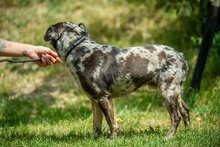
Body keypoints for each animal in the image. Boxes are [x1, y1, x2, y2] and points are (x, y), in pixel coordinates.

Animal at [43, 21, 190, 139]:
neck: (80, 49)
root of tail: (181, 55)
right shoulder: (94, 100)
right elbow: (97, 124)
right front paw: (95, 139)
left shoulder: (103, 98)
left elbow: (111, 122)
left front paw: (112, 139)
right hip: (174, 92)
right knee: (185, 110)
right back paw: (187, 132)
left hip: (167, 92)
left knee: (176, 117)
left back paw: (168, 137)